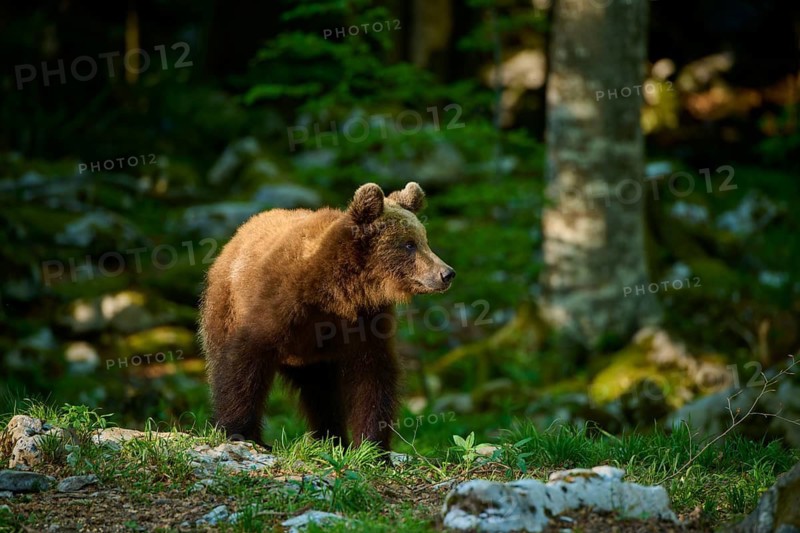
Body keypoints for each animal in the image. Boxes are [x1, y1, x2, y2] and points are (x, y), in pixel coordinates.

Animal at [199, 182, 454, 452]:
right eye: (409, 244)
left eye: (424, 240)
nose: (446, 273)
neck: (340, 292)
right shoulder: (279, 303)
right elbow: (245, 360)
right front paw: (238, 431)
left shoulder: (366, 320)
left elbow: (373, 377)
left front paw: (372, 447)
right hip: (225, 305)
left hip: (312, 357)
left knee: (321, 392)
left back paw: (331, 438)